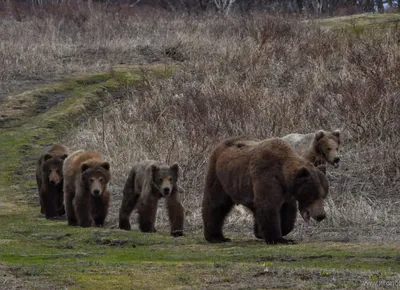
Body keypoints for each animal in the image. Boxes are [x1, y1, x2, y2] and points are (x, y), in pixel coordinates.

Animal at [202, 137, 330, 245]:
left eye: (323, 195)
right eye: (313, 195)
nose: (321, 215)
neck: (283, 176)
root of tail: (221, 144)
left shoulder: (286, 193)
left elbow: (287, 211)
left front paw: (281, 230)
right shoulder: (266, 174)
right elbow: (268, 205)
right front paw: (279, 239)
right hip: (219, 176)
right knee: (216, 204)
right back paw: (216, 237)